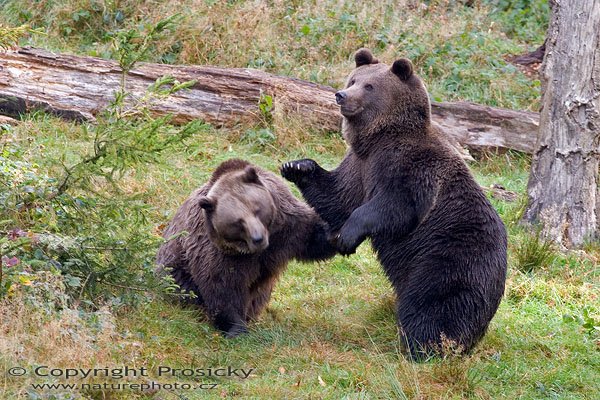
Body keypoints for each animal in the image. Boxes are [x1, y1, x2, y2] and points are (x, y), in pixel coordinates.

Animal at [156, 159, 338, 338]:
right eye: (238, 222)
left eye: (257, 209)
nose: (258, 238)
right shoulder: (222, 254)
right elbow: (222, 286)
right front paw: (236, 328)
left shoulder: (288, 227)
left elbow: (313, 237)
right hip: (177, 273)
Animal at [282, 48, 506, 358]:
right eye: (353, 79)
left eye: (369, 86)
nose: (341, 95)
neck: (379, 138)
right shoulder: (359, 166)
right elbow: (337, 198)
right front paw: (296, 166)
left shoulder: (411, 166)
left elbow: (396, 205)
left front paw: (347, 237)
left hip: (448, 258)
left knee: (433, 304)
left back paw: (424, 346)